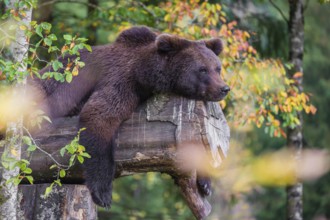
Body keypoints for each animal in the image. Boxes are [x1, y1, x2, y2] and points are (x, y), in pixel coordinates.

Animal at [29, 26, 229, 207]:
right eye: (202, 69)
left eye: (217, 68)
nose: (224, 88)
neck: (144, 74)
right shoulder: (122, 81)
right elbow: (99, 117)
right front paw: (103, 193)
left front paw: (205, 183)